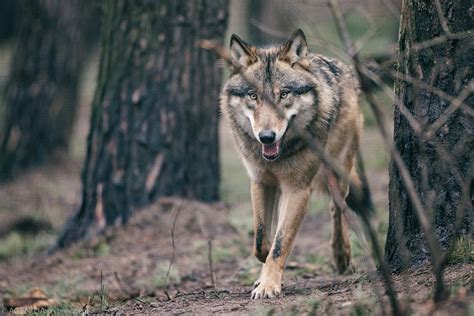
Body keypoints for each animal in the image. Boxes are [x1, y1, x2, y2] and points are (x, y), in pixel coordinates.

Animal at [220, 29, 364, 298]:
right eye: (253, 96)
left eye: (283, 95)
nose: (266, 137)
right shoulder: (261, 182)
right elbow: (262, 240)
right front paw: (263, 276)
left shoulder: (297, 190)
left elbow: (280, 242)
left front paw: (268, 285)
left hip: (339, 171)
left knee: (338, 208)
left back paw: (341, 256)